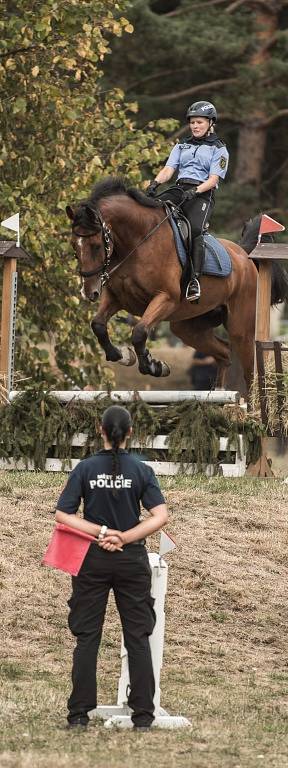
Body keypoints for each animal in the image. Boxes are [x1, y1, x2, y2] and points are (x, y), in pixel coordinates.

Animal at [66, 177, 288, 392]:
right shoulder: (116, 298)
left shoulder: (166, 298)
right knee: (224, 352)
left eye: (96, 246)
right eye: (74, 247)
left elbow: (139, 332)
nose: (89, 292)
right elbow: (98, 325)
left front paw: (154, 366)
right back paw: (218, 393)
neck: (138, 242)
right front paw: (122, 356)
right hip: (188, 327)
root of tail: (244, 255)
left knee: (250, 372)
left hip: (241, 329)